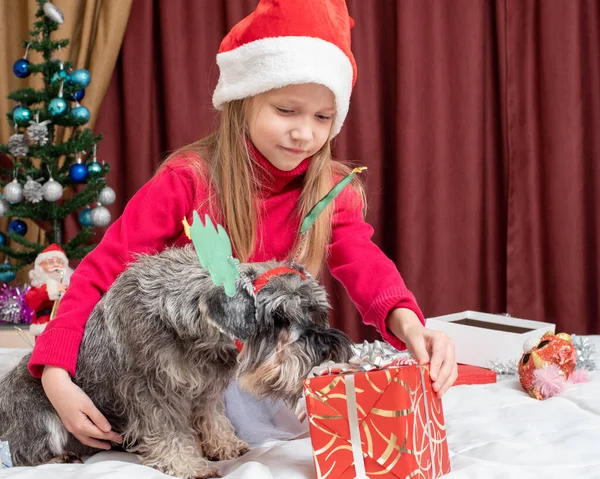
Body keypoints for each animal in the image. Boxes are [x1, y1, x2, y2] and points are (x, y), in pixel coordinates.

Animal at [0, 246, 354, 478]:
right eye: (277, 318)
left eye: (314, 311)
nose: (326, 349)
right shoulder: (152, 389)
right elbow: (169, 429)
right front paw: (188, 465)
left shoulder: (208, 389)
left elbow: (213, 418)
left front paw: (224, 445)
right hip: (41, 419)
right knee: (25, 455)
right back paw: (61, 459)